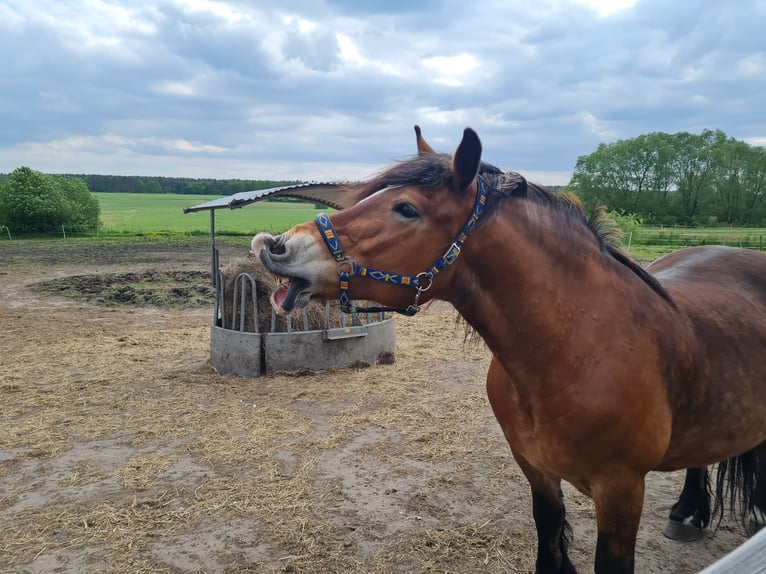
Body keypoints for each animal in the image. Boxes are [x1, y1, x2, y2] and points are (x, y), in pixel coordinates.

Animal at [254, 127, 766, 574]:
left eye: (405, 208)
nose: (274, 245)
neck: (577, 349)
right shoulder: (535, 469)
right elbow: (549, 536)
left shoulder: (621, 493)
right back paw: (689, 513)